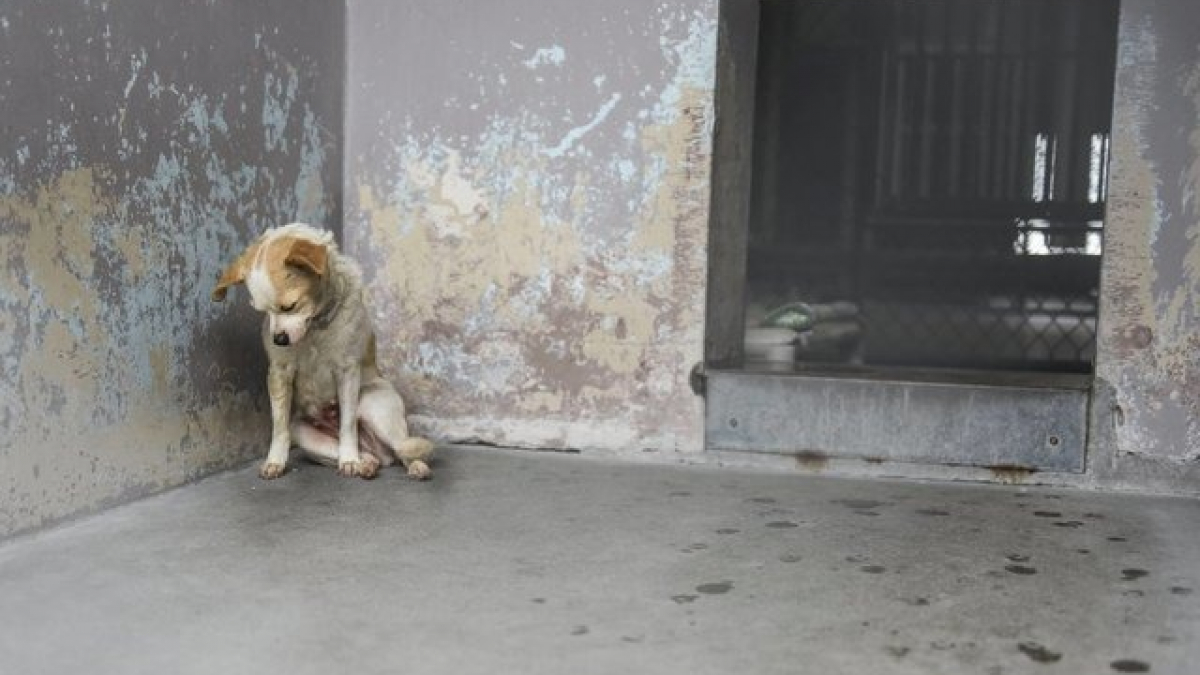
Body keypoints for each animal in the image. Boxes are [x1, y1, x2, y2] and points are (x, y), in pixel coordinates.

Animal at [213, 224, 434, 478]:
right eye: (263, 312)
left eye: (290, 306)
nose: (279, 340)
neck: (315, 328)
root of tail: (374, 448)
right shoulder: (279, 374)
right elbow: (279, 427)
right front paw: (274, 461)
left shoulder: (347, 372)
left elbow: (347, 424)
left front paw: (349, 458)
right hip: (303, 431)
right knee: (370, 456)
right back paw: (366, 463)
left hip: (373, 405)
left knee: (403, 448)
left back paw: (412, 466)